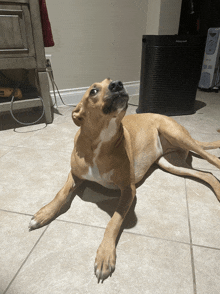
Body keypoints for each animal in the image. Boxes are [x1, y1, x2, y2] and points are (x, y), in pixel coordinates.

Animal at [29, 77, 220, 282]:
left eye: (110, 81)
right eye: (93, 91)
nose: (118, 84)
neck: (101, 140)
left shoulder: (128, 190)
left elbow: (114, 221)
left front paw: (105, 255)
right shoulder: (75, 175)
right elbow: (61, 194)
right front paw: (44, 213)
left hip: (177, 135)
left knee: (213, 160)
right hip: (170, 163)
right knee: (207, 174)